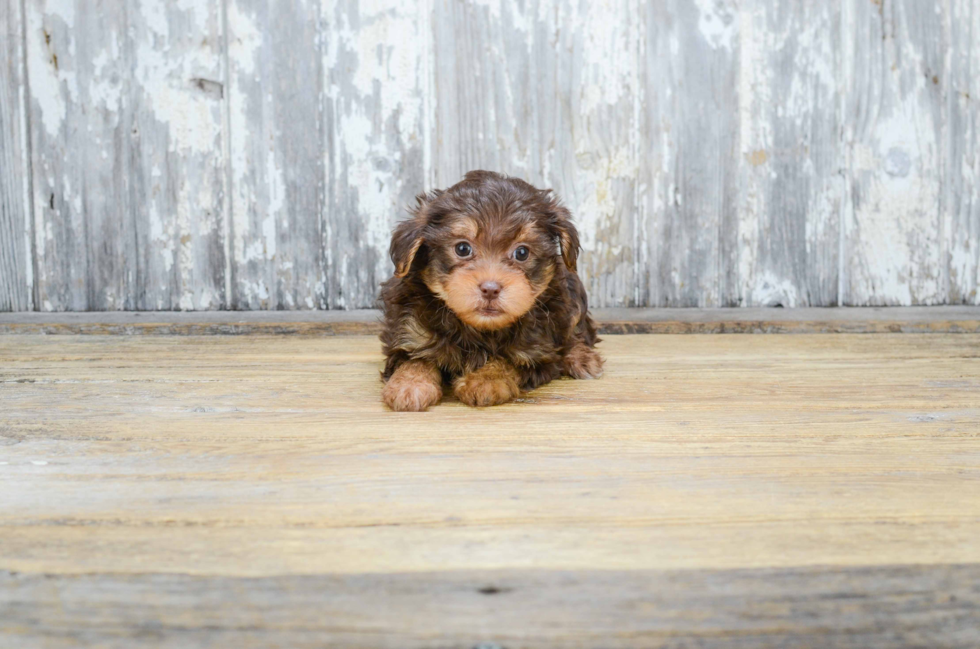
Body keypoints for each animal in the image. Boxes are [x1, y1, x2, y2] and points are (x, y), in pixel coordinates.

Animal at [378, 168, 600, 410]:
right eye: (462, 249)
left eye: (522, 253)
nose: (490, 289)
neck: (479, 328)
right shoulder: (408, 329)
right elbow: (414, 357)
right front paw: (409, 384)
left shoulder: (538, 351)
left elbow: (508, 360)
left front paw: (486, 380)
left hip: (572, 293)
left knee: (578, 330)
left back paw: (582, 358)